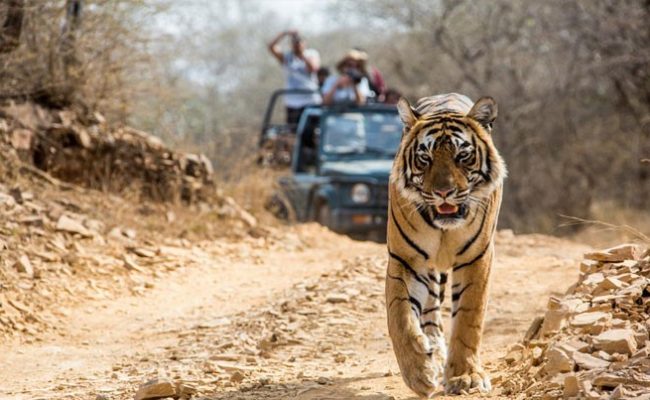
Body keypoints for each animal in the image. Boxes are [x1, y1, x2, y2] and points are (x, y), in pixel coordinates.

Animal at [384, 94, 506, 396]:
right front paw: (418, 372)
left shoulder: (477, 258)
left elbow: (468, 320)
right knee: (429, 311)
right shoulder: (406, 259)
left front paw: (466, 376)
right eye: (425, 158)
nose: (443, 192)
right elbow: (399, 316)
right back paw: (433, 352)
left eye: (462, 156)